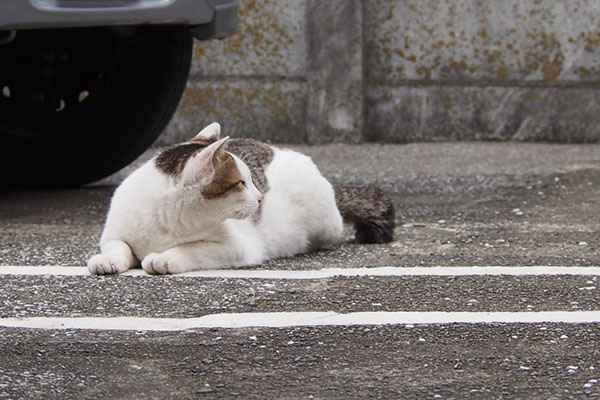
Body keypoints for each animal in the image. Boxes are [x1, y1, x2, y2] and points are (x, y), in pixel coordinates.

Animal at [85, 122, 394, 276]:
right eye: (241, 183)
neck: (166, 219)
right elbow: (118, 246)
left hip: (324, 223)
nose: (259, 197)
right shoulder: (114, 232)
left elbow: (191, 249)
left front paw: (165, 258)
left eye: (251, 180)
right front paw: (108, 260)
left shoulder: (237, 246)